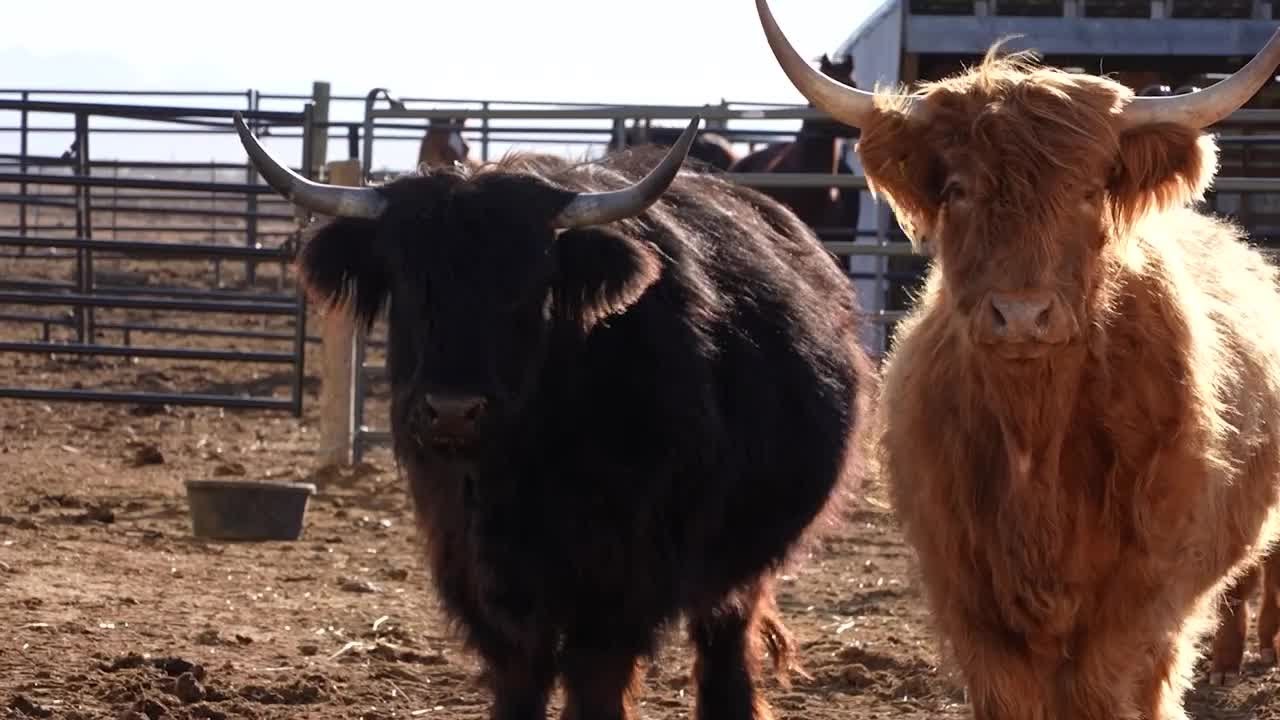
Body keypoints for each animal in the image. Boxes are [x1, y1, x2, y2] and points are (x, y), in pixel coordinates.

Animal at [231, 110, 874, 720]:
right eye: (409, 283)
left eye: (529, 284)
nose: (453, 412)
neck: (527, 466)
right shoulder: (474, 568)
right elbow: (521, 673)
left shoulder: (622, 582)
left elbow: (596, 682)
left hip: (744, 555)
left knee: (724, 638)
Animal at [756, 1, 1280, 717]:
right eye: (956, 190)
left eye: (1088, 191)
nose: (1022, 315)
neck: (1036, 431)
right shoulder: (968, 594)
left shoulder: (1142, 591)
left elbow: (1104, 687)